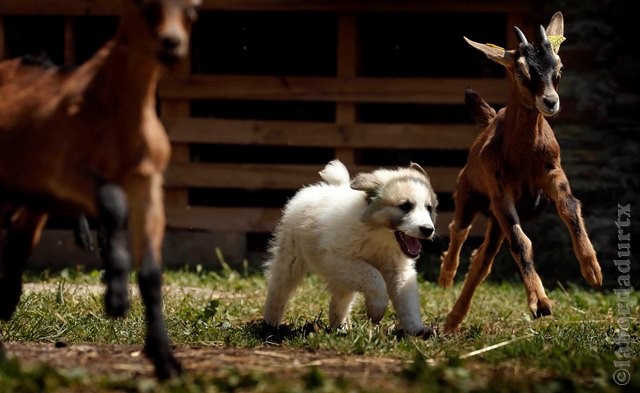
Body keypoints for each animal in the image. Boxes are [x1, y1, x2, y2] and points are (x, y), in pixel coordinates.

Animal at [262, 158, 438, 336]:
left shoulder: (399, 271)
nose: (428, 230)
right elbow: (374, 276)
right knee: (278, 292)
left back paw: (340, 328)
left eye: (429, 208)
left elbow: (408, 301)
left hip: (342, 279)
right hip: (291, 261)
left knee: (339, 302)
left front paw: (417, 329)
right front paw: (377, 309)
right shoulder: (339, 260)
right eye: (405, 206)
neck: (378, 236)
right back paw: (270, 326)